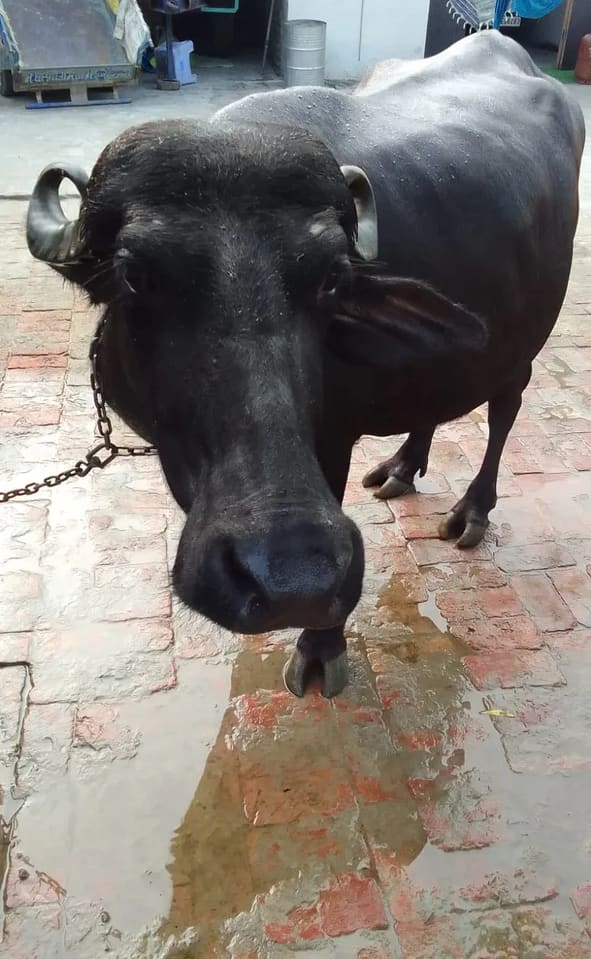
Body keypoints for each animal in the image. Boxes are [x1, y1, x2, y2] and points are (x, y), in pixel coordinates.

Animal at [26, 32, 585, 697]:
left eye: (331, 281)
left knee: (504, 411)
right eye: (134, 275)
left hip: (524, 344)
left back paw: (470, 512)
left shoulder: (333, 436)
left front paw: (320, 645)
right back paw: (401, 466)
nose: (289, 578)